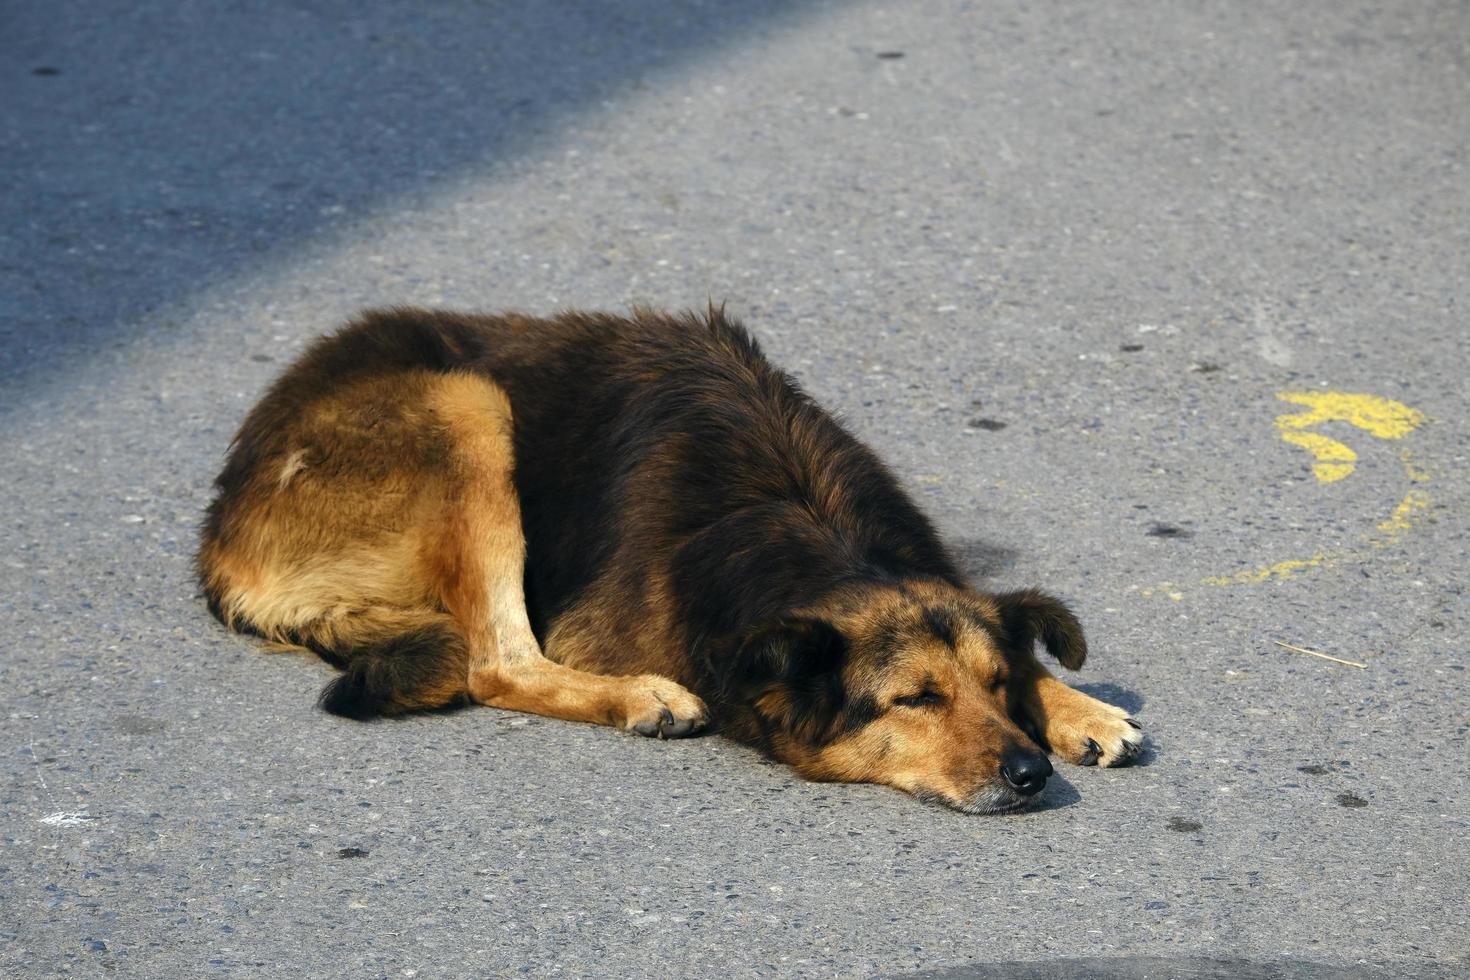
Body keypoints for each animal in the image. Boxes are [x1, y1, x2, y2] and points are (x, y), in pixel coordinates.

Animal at [195, 307, 1140, 811]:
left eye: (993, 685)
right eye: (915, 700)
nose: (1031, 774)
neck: (814, 530)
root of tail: (221, 530)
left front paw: (1079, 707)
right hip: (465, 405)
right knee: (495, 663)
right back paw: (639, 696)